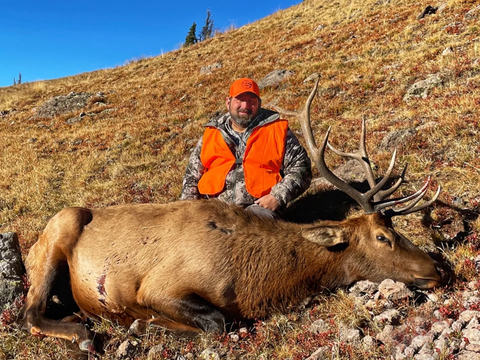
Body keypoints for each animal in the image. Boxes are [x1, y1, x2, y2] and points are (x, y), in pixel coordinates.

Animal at [19, 80, 446, 352]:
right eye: (382, 237)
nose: (438, 269)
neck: (254, 281)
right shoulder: (159, 285)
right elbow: (216, 322)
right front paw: (142, 323)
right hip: (59, 233)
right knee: (30, 313)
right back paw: (83, 335)